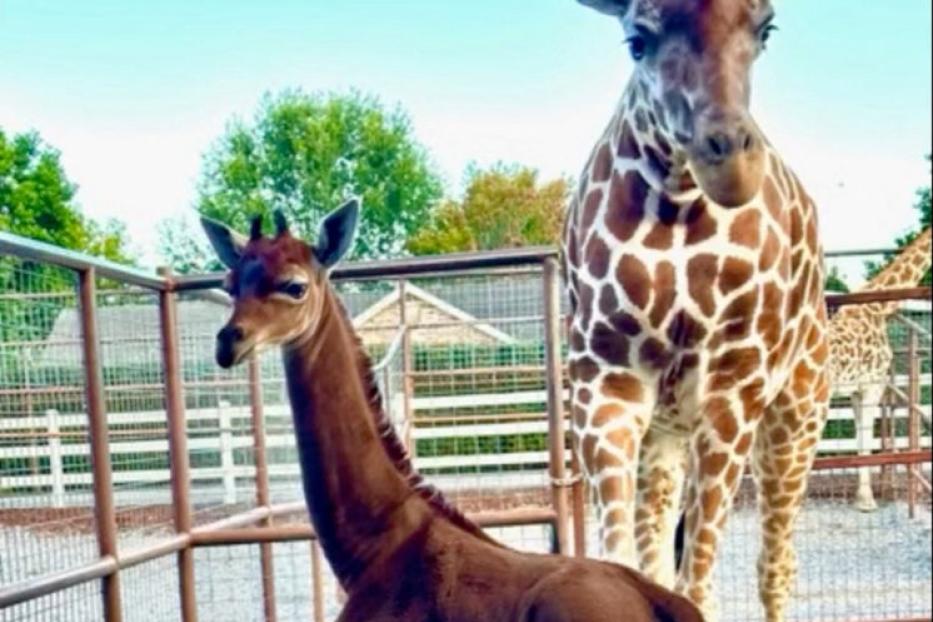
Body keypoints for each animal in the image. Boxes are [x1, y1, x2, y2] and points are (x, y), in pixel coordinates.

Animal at [562, 2, 830, 620]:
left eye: (766, 28)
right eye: (637, 40)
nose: (729, 164)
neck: (679, 204)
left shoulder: (732, 392)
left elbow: (698, 586)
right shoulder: (605, 386)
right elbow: (630, 567)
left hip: (796, 417)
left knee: (776, 566)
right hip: (665, 435)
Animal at [829, 227, 932, 511]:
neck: (878, 307)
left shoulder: (857, 389)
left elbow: (859, 436)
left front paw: (862, 497)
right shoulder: (873, 384)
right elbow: (865, 437)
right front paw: (866, 500)